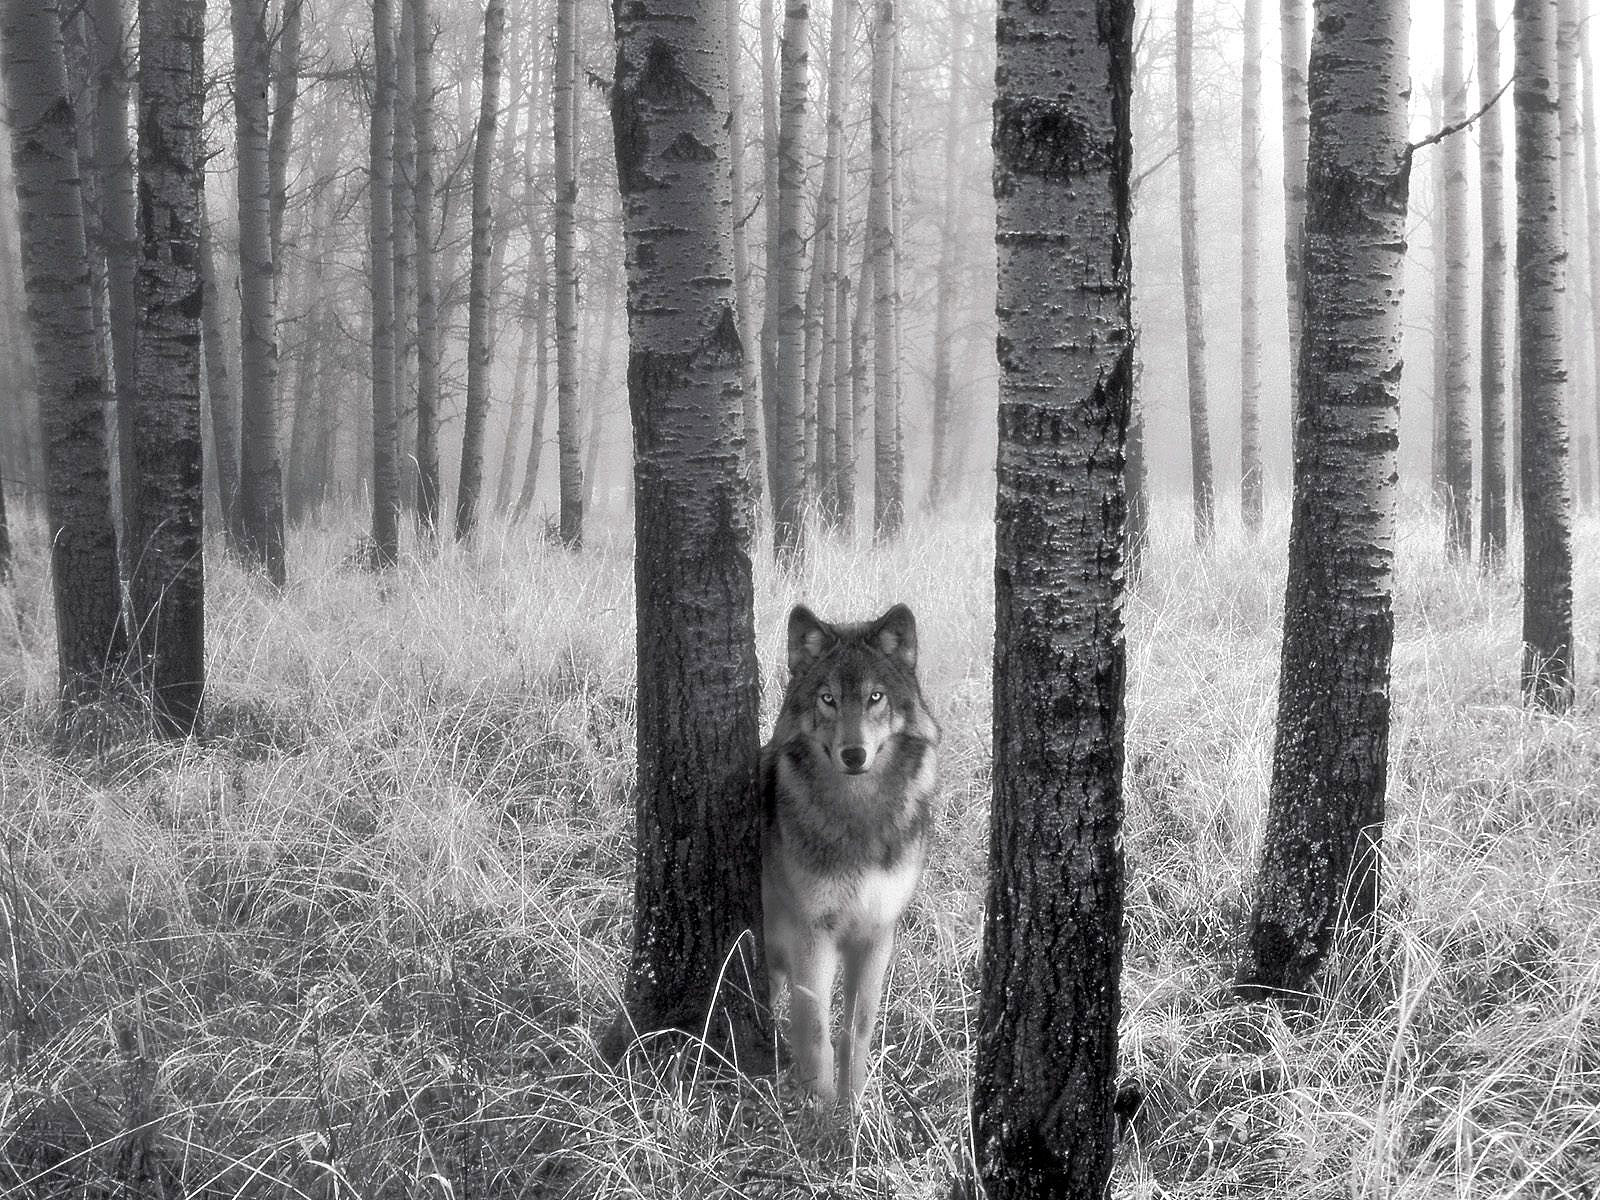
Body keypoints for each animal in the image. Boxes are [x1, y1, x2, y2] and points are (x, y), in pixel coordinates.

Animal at [761, 602, 940, 1106]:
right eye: (828, 699)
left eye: (875, 697)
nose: (854, 754)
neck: (859, 815)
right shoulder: (812, 933)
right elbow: (815, 1030)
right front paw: (819, 1111)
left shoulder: (877, 933)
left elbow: (857, 1030)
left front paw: (854, 1105)